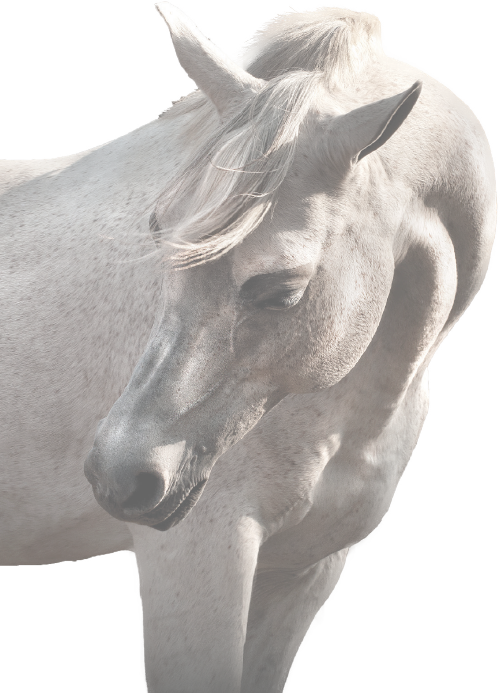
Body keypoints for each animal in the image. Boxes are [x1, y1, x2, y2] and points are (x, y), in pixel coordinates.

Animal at [1, 3, 496, 691]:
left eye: (281, 292)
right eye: (158, 233)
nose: (117, 475)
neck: (354, 413)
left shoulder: (303, 576)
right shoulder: (200, 558)